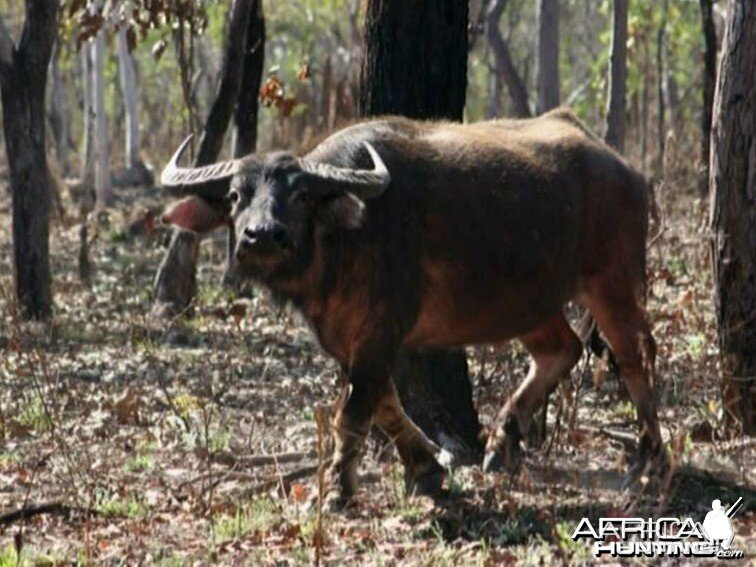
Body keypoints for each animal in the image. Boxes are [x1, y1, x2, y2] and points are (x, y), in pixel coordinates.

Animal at [162, 108, 664, 508]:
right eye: (235, 195)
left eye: (301, 195)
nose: (263, 235)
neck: (343, 242)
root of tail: (626, 170)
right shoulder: (345, 340)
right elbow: (384, 404)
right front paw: (426, 470)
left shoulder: (380, 332)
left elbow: (355, 412)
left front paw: (339, 491)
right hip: (530, 302)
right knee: (561, 349)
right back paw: (501, 444)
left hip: (613, 282)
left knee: (635, 357)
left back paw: (648, 462)